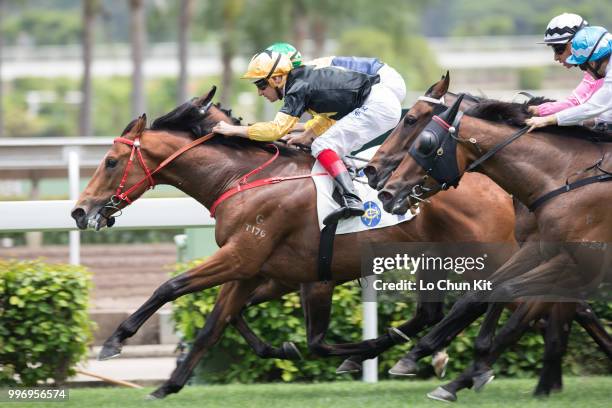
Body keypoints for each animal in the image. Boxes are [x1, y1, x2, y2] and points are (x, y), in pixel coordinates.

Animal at [74, 87, 520, 398]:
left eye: (110, 162)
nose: (79, 211)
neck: (243, 177)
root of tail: (498, 185)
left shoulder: (244, 257)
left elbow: (171, 286)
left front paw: (115, 340)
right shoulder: (265, 270)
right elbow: (219, 323)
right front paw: (171, 384)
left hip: (482, 255)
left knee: (490, 298)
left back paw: (455, 361)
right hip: (436, 258)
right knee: (443, 309)